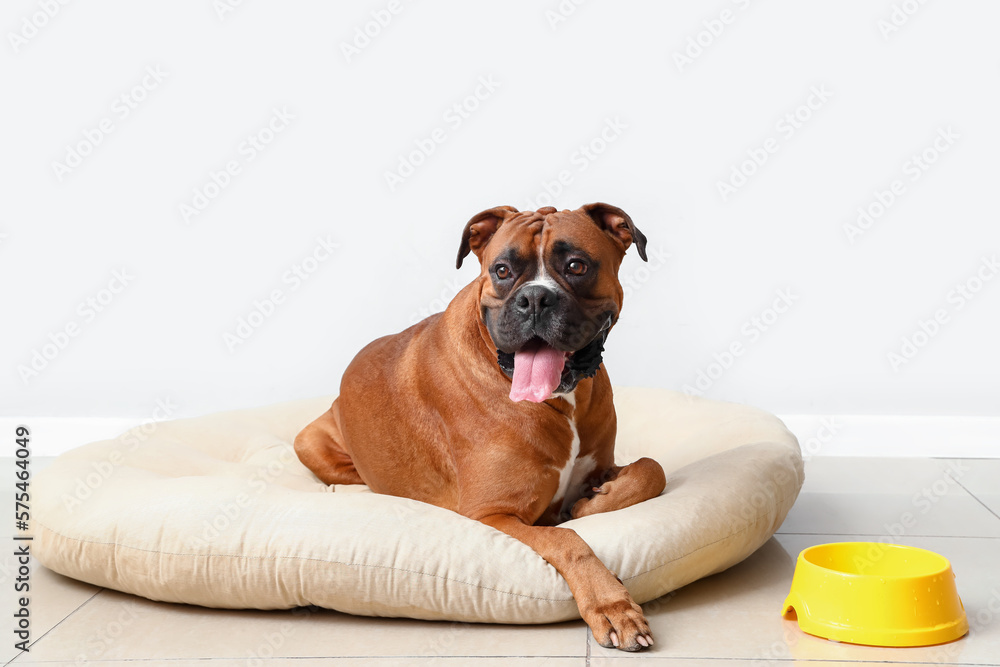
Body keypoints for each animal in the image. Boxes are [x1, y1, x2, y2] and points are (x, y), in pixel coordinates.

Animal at [294, 204, 664, 652]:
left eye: (577, 265)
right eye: (502, 270)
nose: (534, 298)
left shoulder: (602, 466)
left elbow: (651, 469)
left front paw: (594, 503)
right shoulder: (495, 514)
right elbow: (566, 539)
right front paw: (612, 605)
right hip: (309, 441)